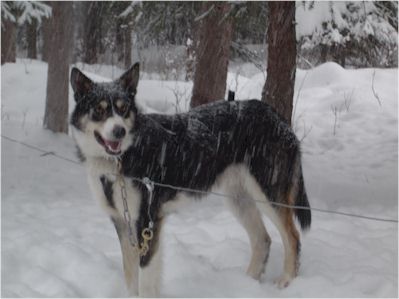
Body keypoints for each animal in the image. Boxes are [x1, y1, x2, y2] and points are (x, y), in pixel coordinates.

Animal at [69, 63, 312, 298]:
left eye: (122, 109)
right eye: (99, 110)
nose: (119, 131)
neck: (121, 159)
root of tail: (276, 116)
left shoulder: (147, 222)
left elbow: (145, 280)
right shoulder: (122, 222)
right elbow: (131, 276)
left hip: (268, 194)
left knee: (293, 237)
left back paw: (286, 281)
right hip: (238, 198)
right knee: (263, 240)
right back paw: (247, 284)